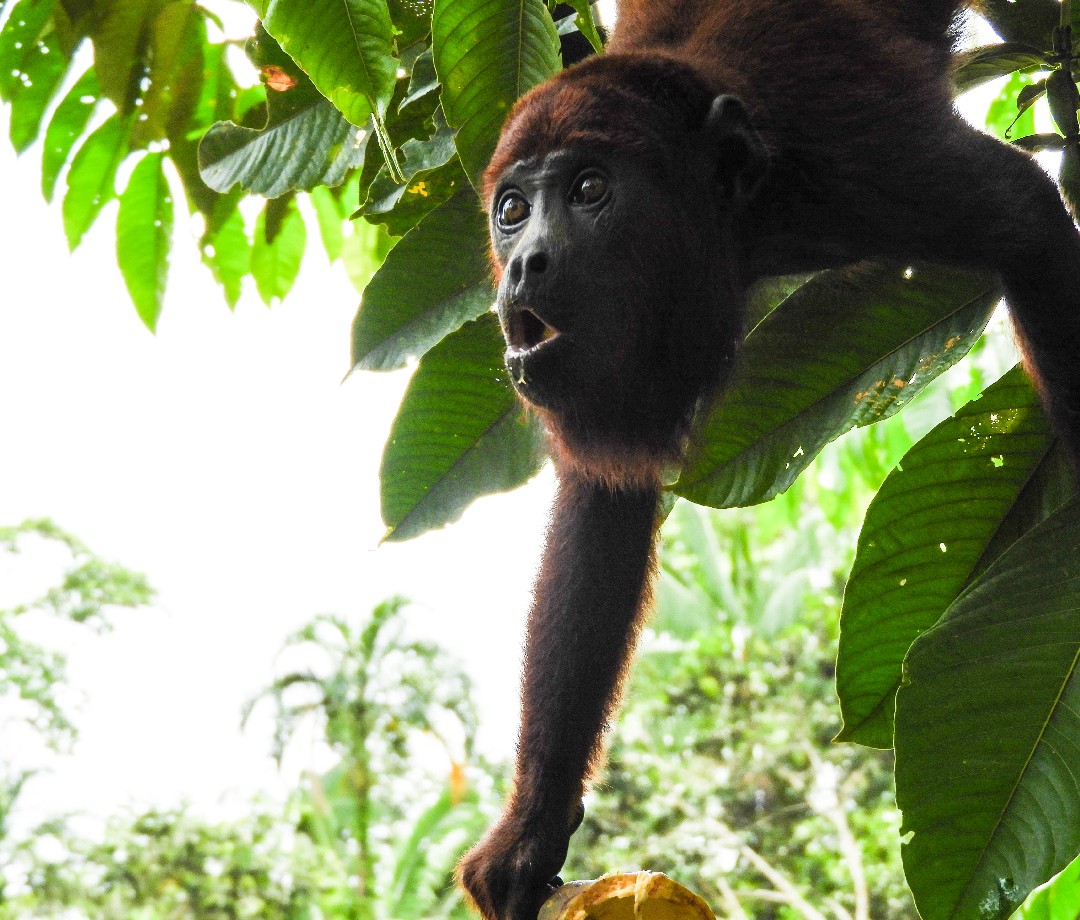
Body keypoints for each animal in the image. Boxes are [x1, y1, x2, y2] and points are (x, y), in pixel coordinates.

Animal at [457, 1, 1080, 919]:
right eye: (511, 209)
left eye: (589, 192)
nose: (525, 263)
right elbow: (603, 494)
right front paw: (531, 828)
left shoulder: (863, 170)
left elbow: (1027, 215)